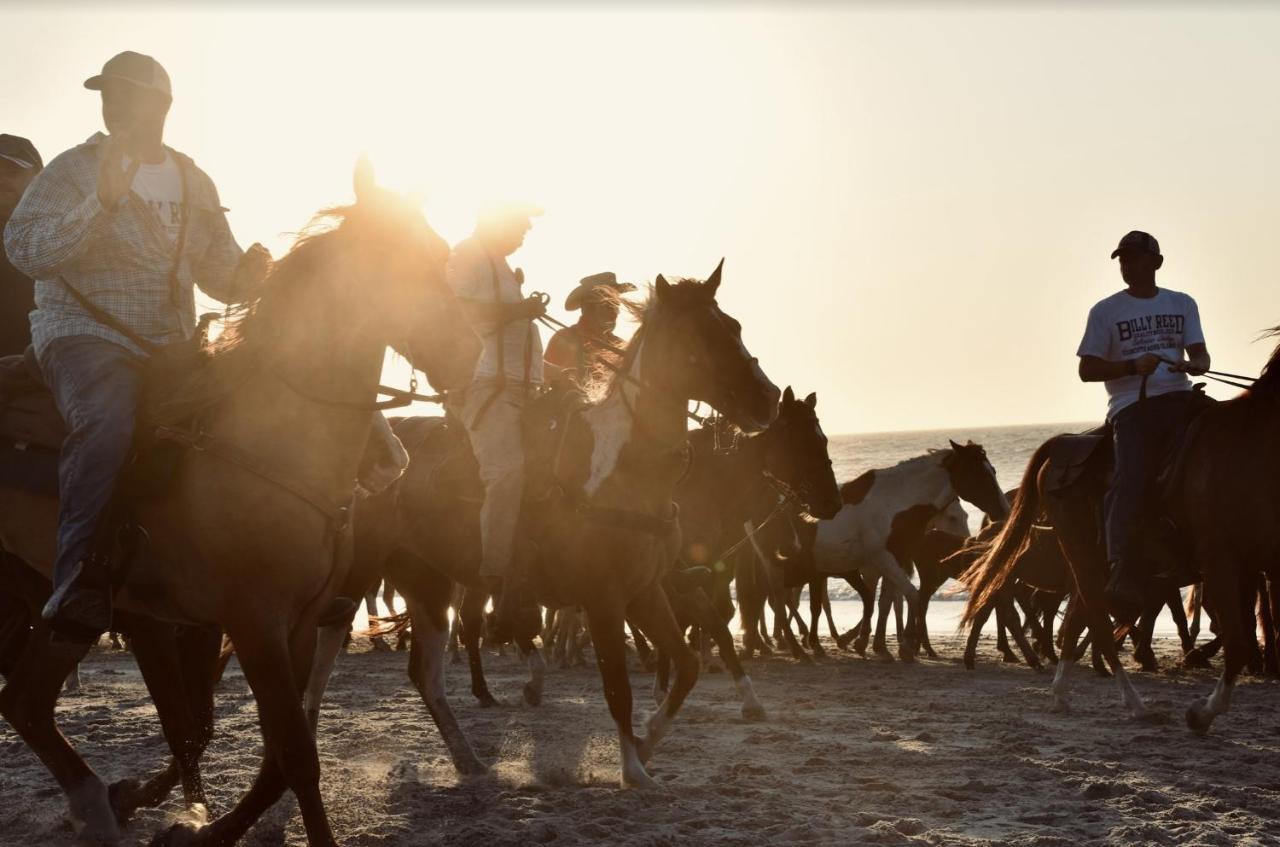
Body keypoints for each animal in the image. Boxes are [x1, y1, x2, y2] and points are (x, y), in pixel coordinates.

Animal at [0, 161, 481, 847]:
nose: (469, 355)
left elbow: (275, 755)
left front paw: (200, 829)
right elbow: (290, 754)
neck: (262, 442)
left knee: (25, 702)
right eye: (401, 265)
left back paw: (99, 801)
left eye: (440, 255)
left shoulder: (296, 625)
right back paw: (99, 801)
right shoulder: (249, 624)